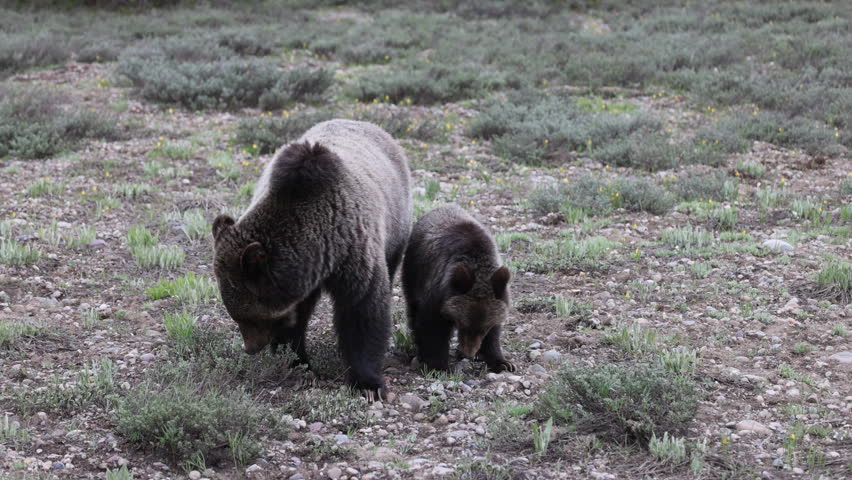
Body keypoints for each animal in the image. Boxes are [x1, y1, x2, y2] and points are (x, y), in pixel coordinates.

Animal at [211, 119, 411, 399]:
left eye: (249, 317)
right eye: (236, 316)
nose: (251, 347)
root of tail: (368, 124)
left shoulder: (353, 252)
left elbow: (363, 312)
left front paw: (367, 383)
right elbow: (296, 319)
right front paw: (296, 360)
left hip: (396, 225)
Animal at [401, 204, 514, 374]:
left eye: (483, 329)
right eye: (464, 325)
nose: (469, 353)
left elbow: (494, 333)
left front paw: (502, 362)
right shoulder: (438, 293)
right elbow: (431, 326)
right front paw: (439, 365)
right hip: (413, 273)